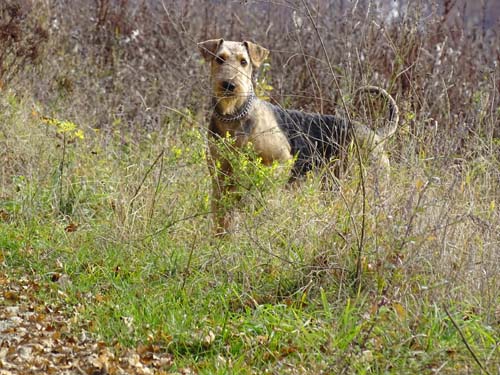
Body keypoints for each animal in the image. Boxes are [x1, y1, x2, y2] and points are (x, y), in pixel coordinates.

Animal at [198, 39, 398, 236]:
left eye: (243, 62)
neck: (234, 116)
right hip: (331, 184)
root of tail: (375, 134)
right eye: (220, 59)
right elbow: (221, 220)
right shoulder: (220, 179)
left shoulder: (282, 160)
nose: (229, 86)